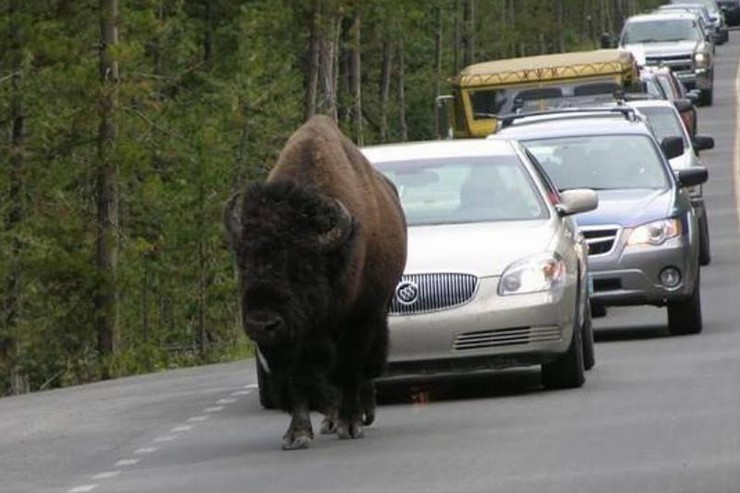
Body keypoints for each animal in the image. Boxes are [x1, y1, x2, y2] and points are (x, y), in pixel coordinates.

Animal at [225, 115, 410, 450]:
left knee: (363, 366)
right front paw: (297, 434)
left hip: (377, 311)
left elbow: (349, 369)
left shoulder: (358, 320)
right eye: (243, 263)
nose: (262, 324)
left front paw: (350, 425)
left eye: (303, 266)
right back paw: (331, 419)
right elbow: (301, 378)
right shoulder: (296, 338)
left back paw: (360, 414)